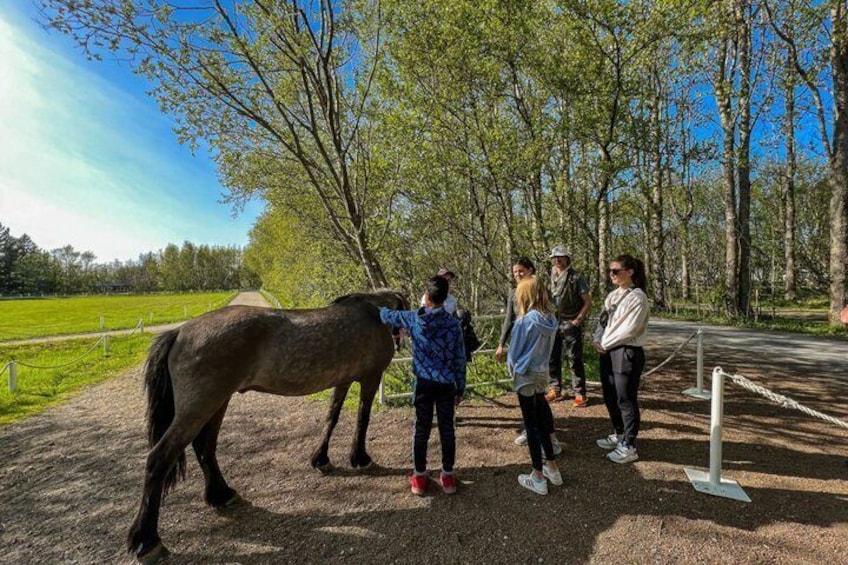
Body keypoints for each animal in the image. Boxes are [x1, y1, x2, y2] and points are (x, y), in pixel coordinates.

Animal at [126, 289, 409, 564]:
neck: (375, 311)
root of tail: (180, 333)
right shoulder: (370, 378)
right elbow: (363, 418)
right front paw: (360, 458)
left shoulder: (344, 380)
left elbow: (332, 417)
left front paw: (321, 458)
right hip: (199, 407)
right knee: (159, 459)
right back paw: (147, 541)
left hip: (217, 402)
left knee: (205, 447)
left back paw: (222, 495)